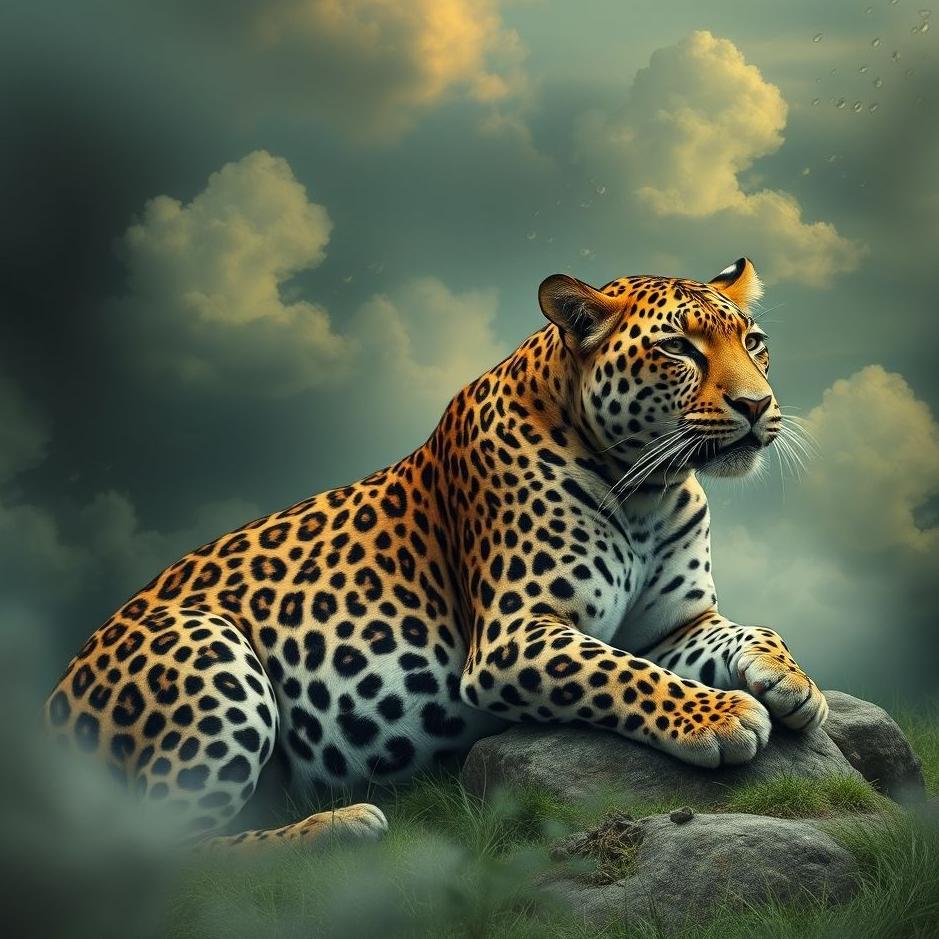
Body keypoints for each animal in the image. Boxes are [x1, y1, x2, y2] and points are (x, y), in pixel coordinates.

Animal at [44, 257, 828, 849]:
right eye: (676, 349)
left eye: (754, 341)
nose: (758, 405)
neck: (645, 487)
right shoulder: (513, 635)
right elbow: (618, 672)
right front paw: (718, 716)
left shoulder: (676, 626)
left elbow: (751, 631)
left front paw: (793, 683)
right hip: (205, 643)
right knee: (165, 854)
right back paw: (340, 826)